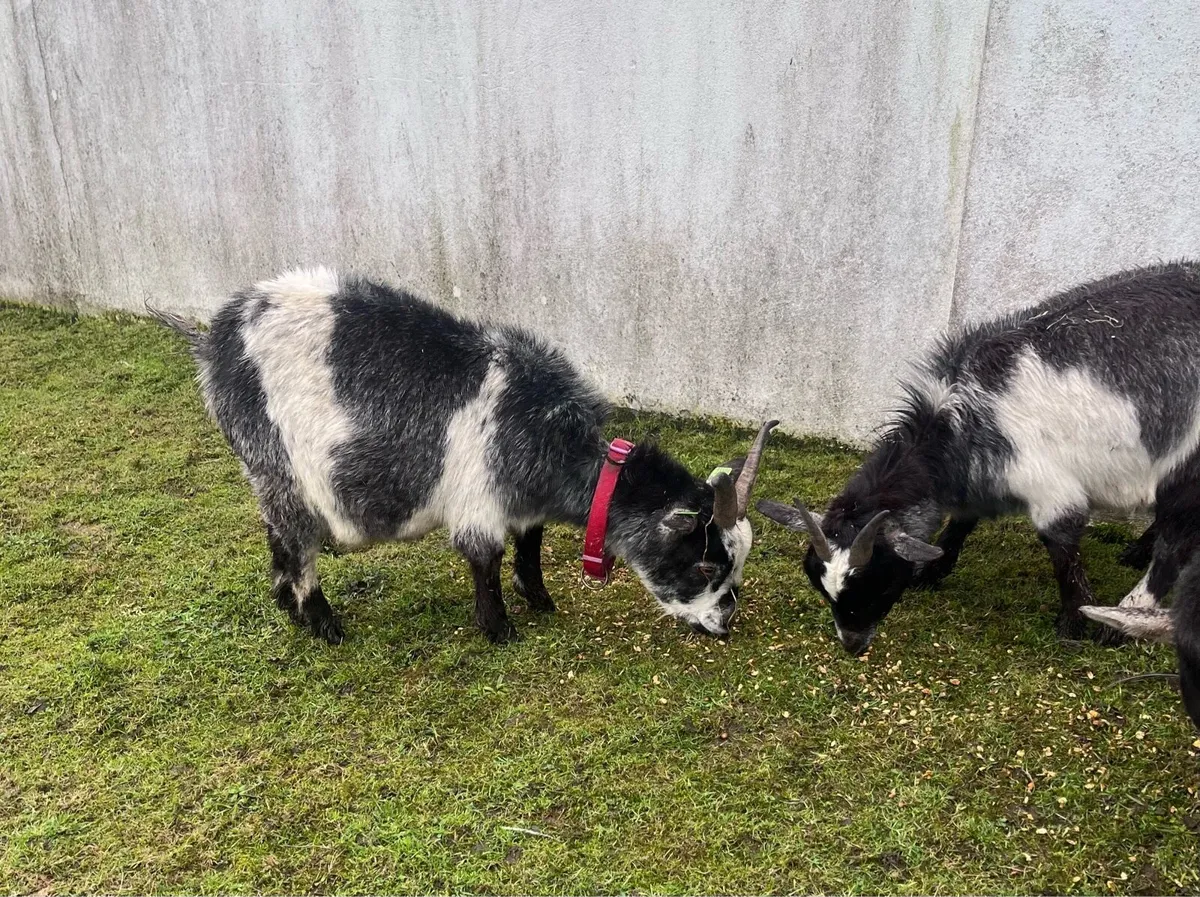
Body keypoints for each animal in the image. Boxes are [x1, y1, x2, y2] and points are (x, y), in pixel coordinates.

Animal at [152, 268, 777, 644]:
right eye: (705, 564)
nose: (725, 622)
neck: (544, 433)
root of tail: (213, 341)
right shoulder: (480, 499)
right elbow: (486, 559)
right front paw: (499, 629)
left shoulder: (523, 503)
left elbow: (530, 546)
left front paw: (540, 600)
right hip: (278, 468)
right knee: (297, 543)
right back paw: (324, 624)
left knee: (277, 540)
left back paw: (288, 605)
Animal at [757, 262, 1200, 675]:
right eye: (822, 588)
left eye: (878, 586)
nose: (852, 644)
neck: (959, 419)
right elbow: (960, 523)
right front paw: (933, 571)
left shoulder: (1050, 488)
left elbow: (1062, 549)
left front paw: (1074, 623)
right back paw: (1135, 552)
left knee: (1174, 542)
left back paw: (1125, 619)